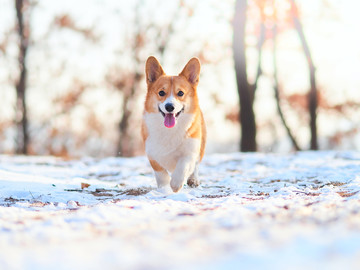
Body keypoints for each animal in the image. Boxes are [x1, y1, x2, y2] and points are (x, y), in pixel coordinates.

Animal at [142, 56, 207, 192]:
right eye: (161, 93)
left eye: (180, 93)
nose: (169, 107)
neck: (170, 130)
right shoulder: (152, 153)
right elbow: (161, 174)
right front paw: (164, 188)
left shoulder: (190, 151)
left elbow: (183, 165)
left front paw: (176, 184)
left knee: (196, 166)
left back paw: (193, 180)